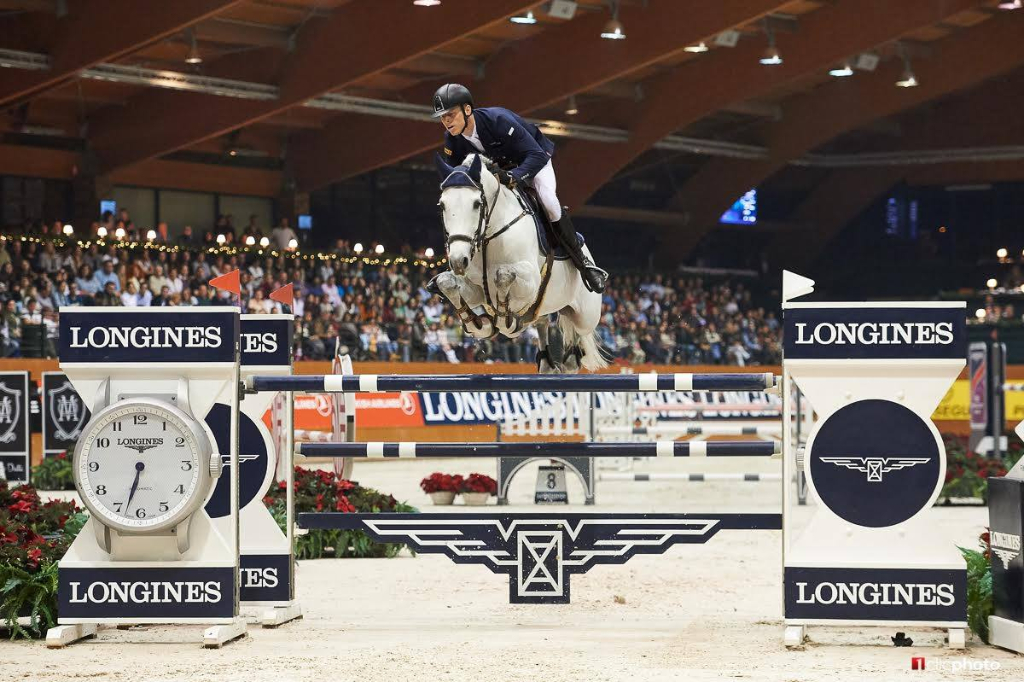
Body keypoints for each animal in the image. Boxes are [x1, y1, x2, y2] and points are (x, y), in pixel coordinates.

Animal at [428, 152, 602, 372]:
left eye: (477, 203)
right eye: (442, 205)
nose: (459, 260)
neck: (489, 236)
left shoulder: (532, 281)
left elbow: (503, 275)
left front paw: (504, 320)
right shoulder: (476, 288)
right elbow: (446, 282)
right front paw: (480, 324)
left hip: (586, 315)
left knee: (577, 339)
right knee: (542, 320)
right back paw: (546, 360)